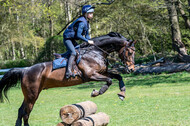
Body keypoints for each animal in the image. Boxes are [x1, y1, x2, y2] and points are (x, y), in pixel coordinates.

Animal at [0, 31, 136, 126]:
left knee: (22, 111)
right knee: (25, 112)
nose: (131, 69)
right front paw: (96, 92)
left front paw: (122, 94)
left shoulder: (103, 72)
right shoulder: (91, 75)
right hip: (32, 95)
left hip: (30, 95)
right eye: (130, 52)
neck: (95, 52)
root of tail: (25, 70)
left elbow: (118, 77)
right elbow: (109, 81)